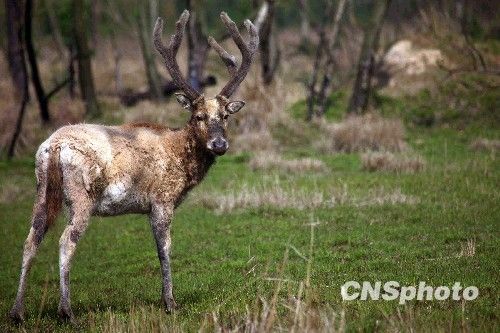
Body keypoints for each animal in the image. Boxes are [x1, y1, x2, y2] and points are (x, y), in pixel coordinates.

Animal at [9, 10, 260, 322]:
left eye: (226, 116)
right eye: (199, 115)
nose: (219, 144)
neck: (181, 160)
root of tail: (54, 146)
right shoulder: (162, 199)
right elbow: (165, 249)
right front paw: (170, 302)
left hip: (42, 188)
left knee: (31, 238)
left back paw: (17, 312)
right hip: (81, 195)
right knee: (66, 240)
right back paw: (66, 311)